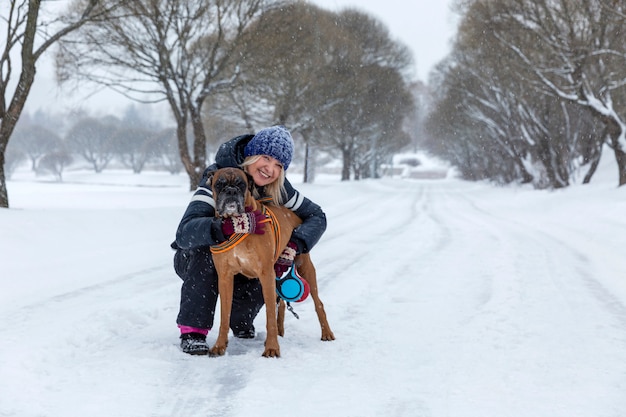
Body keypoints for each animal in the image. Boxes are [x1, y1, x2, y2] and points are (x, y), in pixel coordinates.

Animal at [207, 167, 334, 356]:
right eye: (219, 184)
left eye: (241, 184)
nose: (231, 191)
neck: (237, 223)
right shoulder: (225, 277)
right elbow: (224, 316)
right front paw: (219, 345)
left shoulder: (265, 274)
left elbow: (269, 316)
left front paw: (272, 348)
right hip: (278, 272)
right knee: (280, 304)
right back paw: (280, 332)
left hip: (305, 268)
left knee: (318, 303)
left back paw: (326, 333)